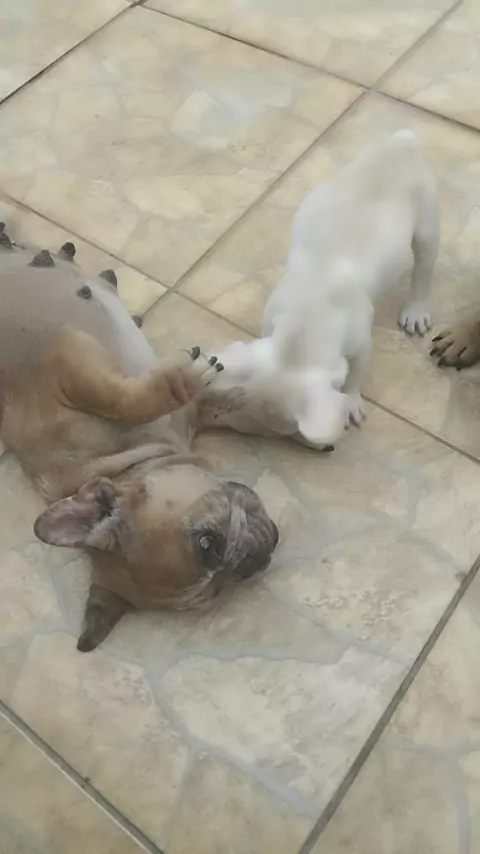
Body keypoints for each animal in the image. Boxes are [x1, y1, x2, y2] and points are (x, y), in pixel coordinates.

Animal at [0, 222, 279, 652]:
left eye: (205, 543)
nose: (254, 561)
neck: (127, 458)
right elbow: (128, 398)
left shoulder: (65, 359)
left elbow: (123, 398)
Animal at [210, 131, 439, 446]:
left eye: (289, 430)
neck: (304, 326)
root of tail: (400, 144)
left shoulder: (360, 345)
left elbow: (354, 375)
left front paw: (351, 402)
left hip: (427, 222)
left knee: (424, 269)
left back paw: (415, 309)